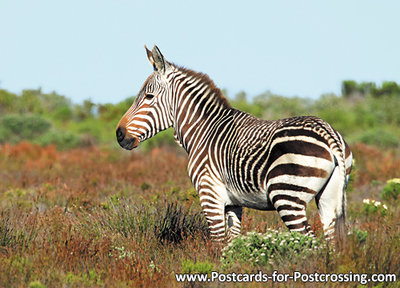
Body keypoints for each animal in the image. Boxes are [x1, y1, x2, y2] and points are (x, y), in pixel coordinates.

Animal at [116, 45, 354, 243]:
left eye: (148, 96)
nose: (119, 134)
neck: (203, 131)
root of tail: (328, 133)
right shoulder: (233, 202)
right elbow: (232, 243)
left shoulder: (209, 194)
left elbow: (219, 243)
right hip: (329, 196)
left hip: (287, 196)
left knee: (310, 242)